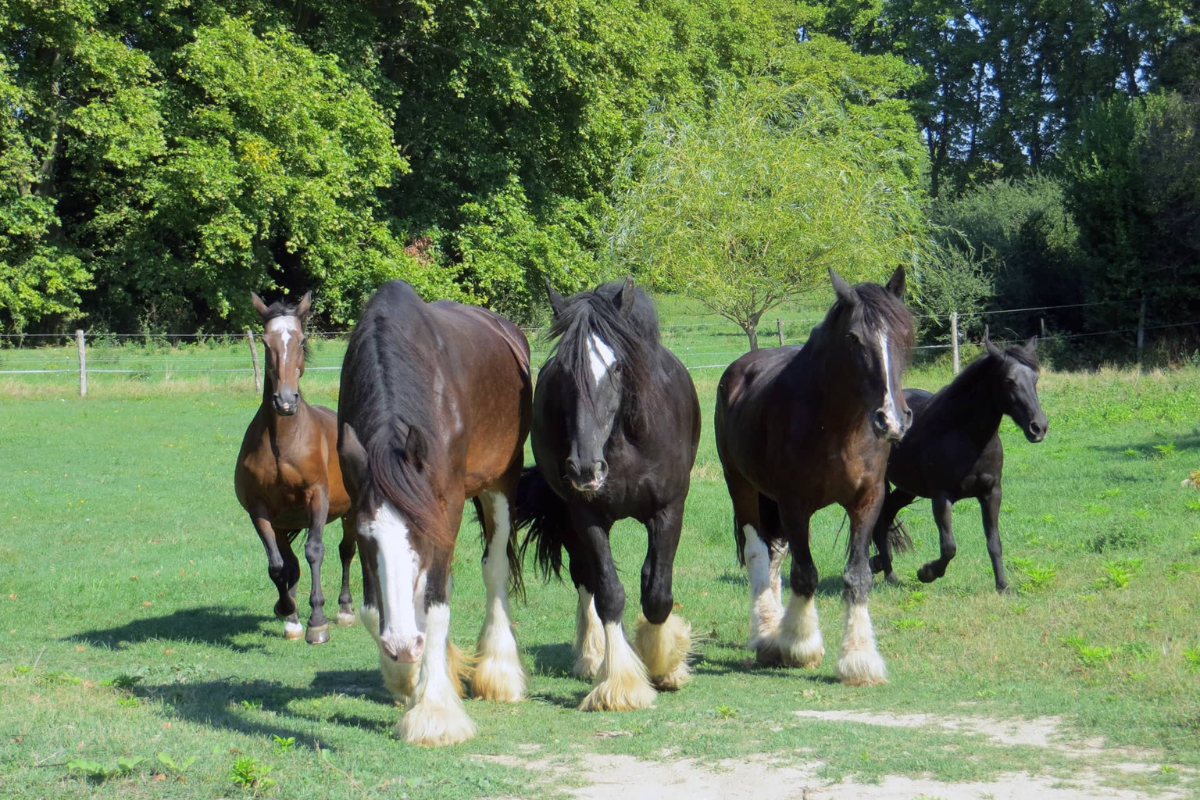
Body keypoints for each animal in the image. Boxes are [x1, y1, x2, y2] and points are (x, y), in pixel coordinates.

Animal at [234, 291, 356, 644]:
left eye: (301, 340)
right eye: (265, 341)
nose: (285, 401)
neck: (283, 444)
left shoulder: (317, 498)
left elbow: (316, 551)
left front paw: (317, 623)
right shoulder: (260, 511)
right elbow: (278, 566)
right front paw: (288, 612)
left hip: (352, 512)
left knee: (346, 551)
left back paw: (346, 609)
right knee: (290, 562)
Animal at [336, 280, 531, 746]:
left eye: (423, 533)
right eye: (367, 537)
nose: (403, 645)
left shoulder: (447, 512)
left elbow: (437, 606)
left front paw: (435, 711)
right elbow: (373, 608)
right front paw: (405, 677)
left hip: (501, 482)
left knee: (494, 569)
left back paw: (499, 673)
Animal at [516, 277, 701, 711]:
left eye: (617, 366)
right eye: (565, 372)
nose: (585, 468)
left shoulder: (668, 510)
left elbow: (657, 593)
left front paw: (663, 664)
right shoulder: (586, 516)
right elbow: (609, 595)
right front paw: (620, 684)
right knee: (586, 578)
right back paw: (592, 655)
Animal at [715, 267, 914, 686]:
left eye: (906, 332)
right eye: (854, 338)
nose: (892, 419)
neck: (838, 425)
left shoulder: (868, 500)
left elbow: (858, 575)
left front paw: (859, 659)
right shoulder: (794, 504)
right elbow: (805, 574)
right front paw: (799, 645)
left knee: (776, 552)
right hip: (743, 487)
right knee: (759, 551)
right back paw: (765, 633)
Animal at [869, 331, 1048, 593]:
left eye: (1035, 379)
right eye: (1009, 381)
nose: (1039, 427)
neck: (964, 436)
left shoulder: (991, 493)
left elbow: (994, 543)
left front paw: (1003, 586)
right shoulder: (942, 497)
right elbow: (949, 547)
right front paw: (926, 572)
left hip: (907, 489)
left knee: (887, 515)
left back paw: (883, 567)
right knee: (880, 520)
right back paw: (887, 573)